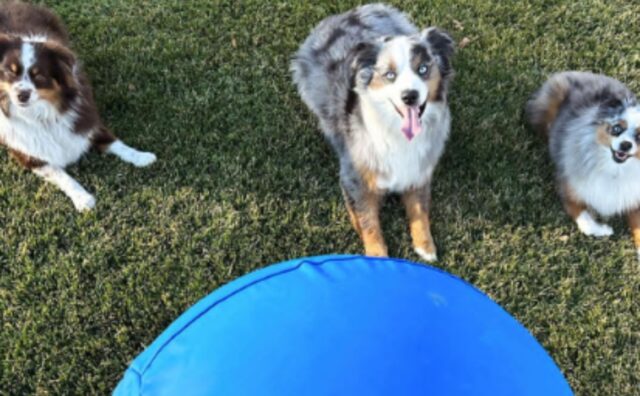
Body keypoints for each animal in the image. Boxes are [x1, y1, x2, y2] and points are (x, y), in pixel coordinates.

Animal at [0, 1, 155, 212]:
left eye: (39, 75)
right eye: (10, 72)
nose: (21, 95)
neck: (43, 114)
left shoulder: (84, 120)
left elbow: (116, 143)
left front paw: (142, 157)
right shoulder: (29, 155)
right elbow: (61, 175)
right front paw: (83, 198)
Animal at [292, 5, 452, 262]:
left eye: (423, 69)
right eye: (390, 75)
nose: (410, 96)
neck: (398, 134)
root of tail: (351, 13)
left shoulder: (418, 172)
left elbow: (420, 210)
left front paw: (426, 247)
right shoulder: (354, 178)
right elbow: (368, 220)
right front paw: (377, 255)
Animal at [528, 72, 640, 260]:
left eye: (639, 137)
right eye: (617, 128)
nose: (625, 145)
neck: (615, 170)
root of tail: (584, 73)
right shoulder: (569, 189)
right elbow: (585, 221)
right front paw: (603, 230)